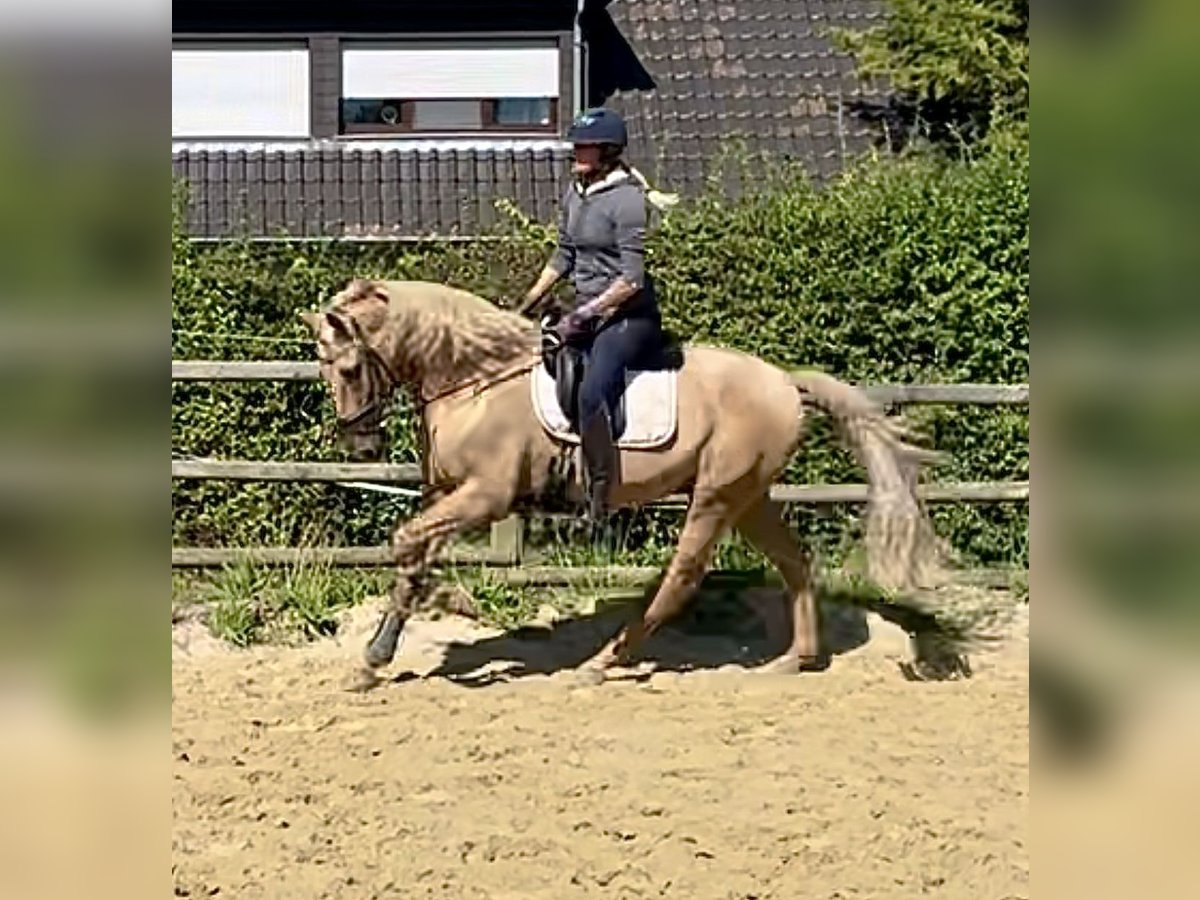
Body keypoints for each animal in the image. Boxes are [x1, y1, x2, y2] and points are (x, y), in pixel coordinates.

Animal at [300, 278, 955, 686]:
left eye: (349, 368)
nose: (361, 445)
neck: (474, 380)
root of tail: (785, 383)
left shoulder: (486, 495)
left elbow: (407, 542)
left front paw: (434, 612)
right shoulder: (448, 494)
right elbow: (412, 553)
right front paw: (376, 657)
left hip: (716, 496)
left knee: (683, 576)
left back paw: (603, 662)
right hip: (749, 495)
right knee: (795, 561)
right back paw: (794, 660)